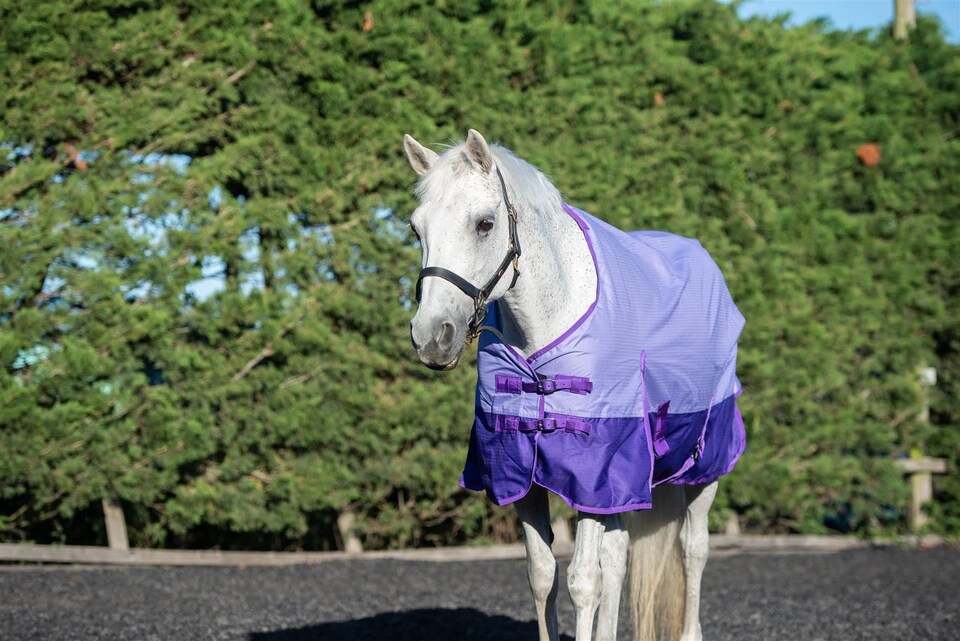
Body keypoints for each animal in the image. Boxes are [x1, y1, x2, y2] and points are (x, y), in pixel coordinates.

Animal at [404, 129, 745, 641]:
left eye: (484, 224)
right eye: (415, 229)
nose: (431, 337)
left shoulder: (592, 476)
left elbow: (584, 581)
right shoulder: (523, 478)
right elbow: (543, 574)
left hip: (706, 464)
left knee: (693, 549)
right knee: (619, 555)